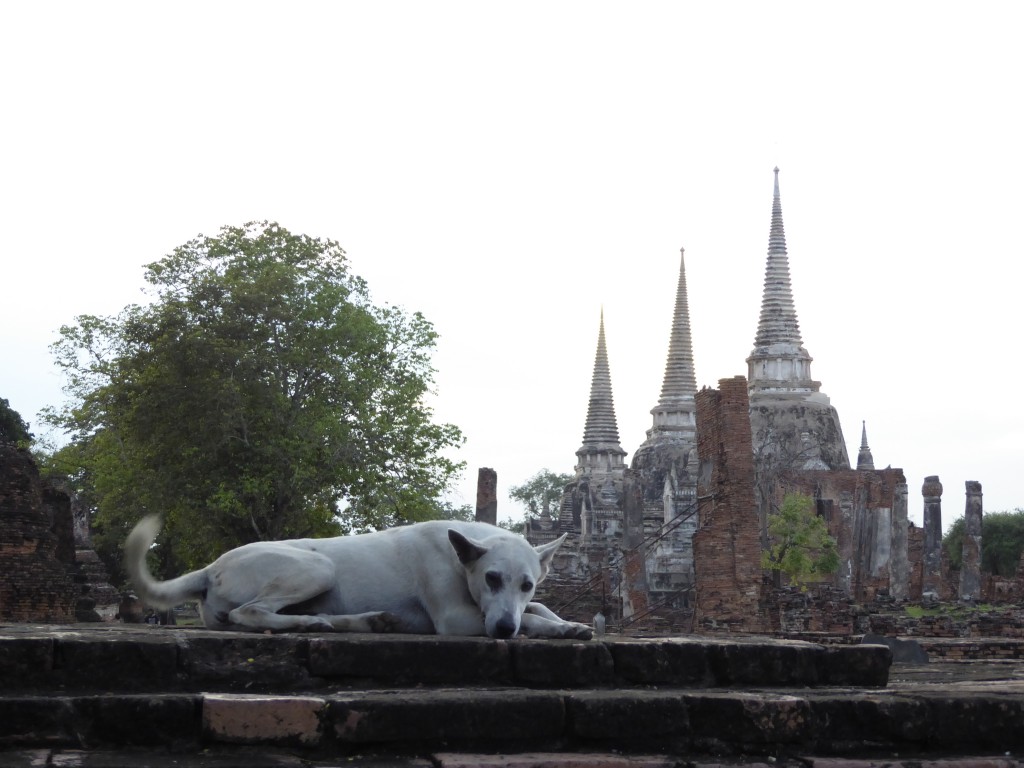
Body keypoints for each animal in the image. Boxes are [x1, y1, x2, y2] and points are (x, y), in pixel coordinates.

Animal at [126, 518, 593, 643]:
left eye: (527, 583)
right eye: (492, 578)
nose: (502, 631)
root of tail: (210, 567)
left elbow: (539, 609)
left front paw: (567, 624)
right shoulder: (458, 620)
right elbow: (529, 618)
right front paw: (551, 627)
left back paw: (363, 621)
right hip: (317, 568)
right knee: (249, 613)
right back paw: (308, 624)